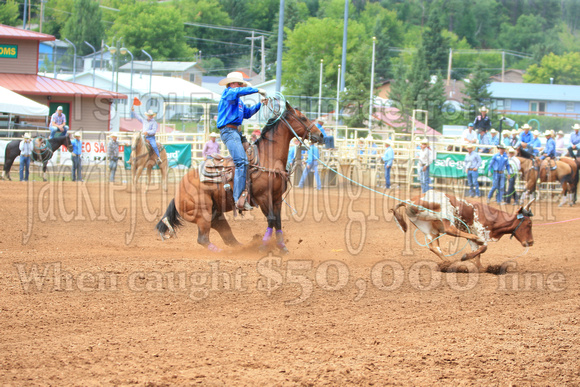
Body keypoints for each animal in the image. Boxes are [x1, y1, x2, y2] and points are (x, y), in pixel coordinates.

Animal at [156, 103, 324, 255]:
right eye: (303, 117)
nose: (321, 135)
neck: (266, 159)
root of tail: (177, 193)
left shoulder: (276, 198)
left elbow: (278, 222)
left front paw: (282, 247)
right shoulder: (263, 197)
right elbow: (271, 219)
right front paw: (264, 246)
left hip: (216, 215)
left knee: (227, 236)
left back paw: (242, 248)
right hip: (203, 213)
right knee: (203, 239)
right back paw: (225, 252)